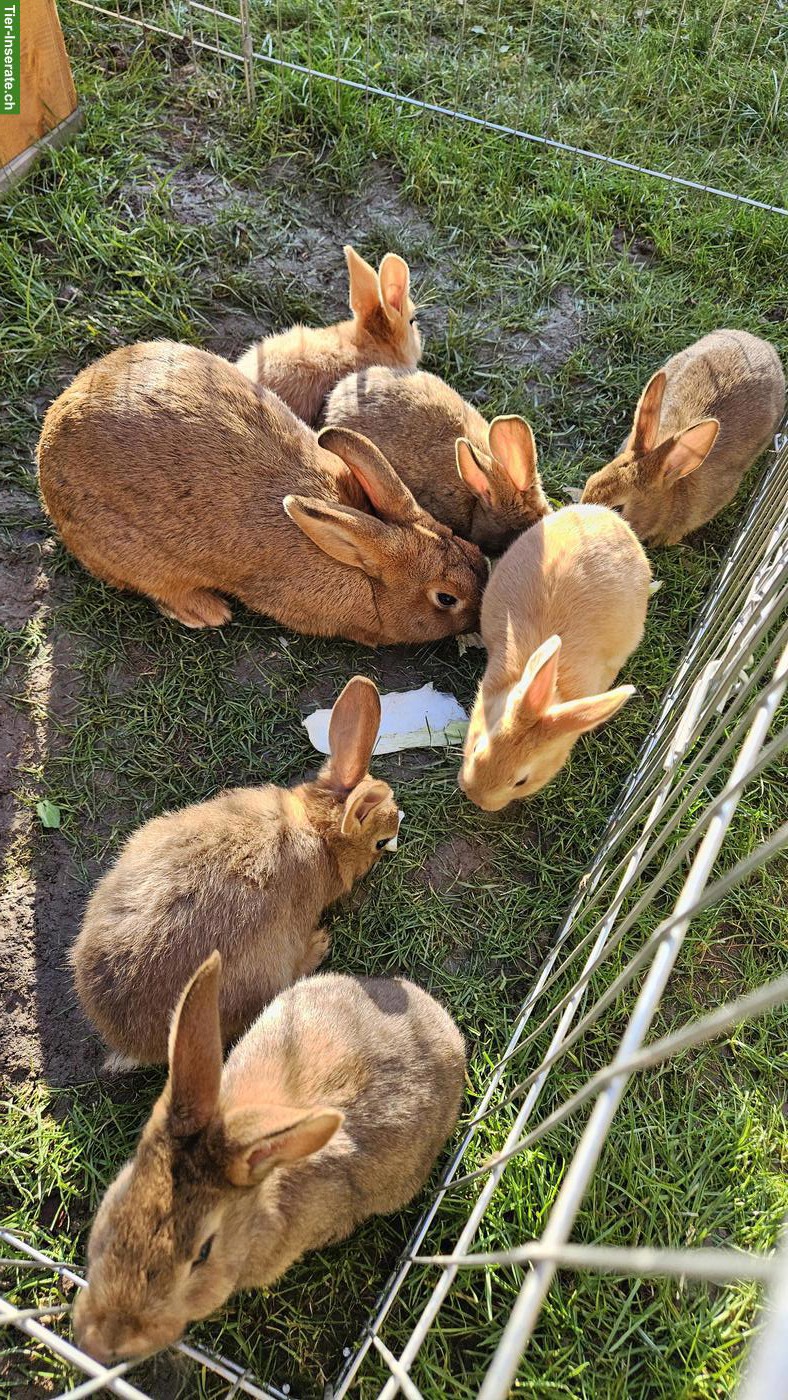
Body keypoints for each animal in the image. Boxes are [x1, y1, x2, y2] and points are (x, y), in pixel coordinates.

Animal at [37, 342, 486, 644]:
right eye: (446, 598)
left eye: (471, 548)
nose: (480, 609)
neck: (360, 568)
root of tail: (52, 432)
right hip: (133, 555)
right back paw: (207, 612)